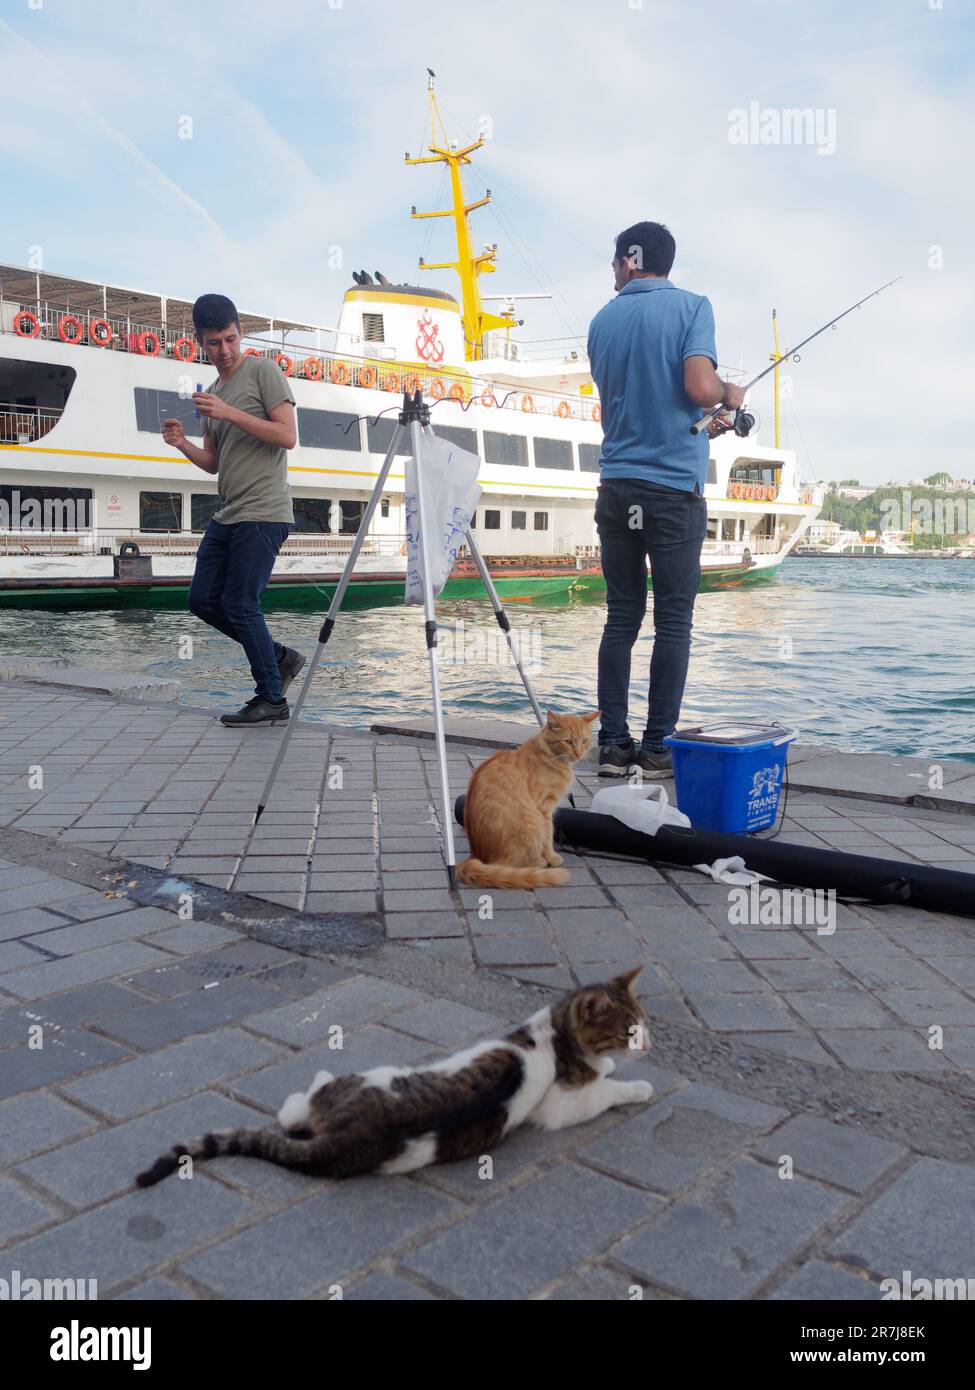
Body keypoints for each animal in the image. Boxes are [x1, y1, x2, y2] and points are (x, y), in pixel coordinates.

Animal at [134, 973, 653, 1189]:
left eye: (642, 1024)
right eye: (628, 1029)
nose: (647, 1045)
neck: (553, 1031)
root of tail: (346, 1138)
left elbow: (602, 1080)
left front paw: (616, 1073)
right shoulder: (560, 1103)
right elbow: (605, 1089)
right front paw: (633, 1082)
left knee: (295, 1111)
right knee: (294, 1110)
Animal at [458, 706, 600, 889]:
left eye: (584, 741)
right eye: (568, 741)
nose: (578, 753)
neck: (549, 755)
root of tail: (475, 856)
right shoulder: (544, 808)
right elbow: (548, 836)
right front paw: (551, 857)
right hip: (532, 821)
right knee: (510, 864)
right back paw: (538, 862)